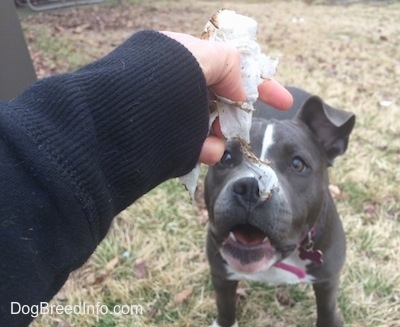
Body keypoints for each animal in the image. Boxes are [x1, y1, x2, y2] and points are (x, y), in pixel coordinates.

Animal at [205, 86, 354, 327]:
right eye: (225, 157)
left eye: (297, 164)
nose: (251, 188)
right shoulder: (221, 275)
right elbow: (225, 308)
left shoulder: (327, 281)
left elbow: (327, 311)